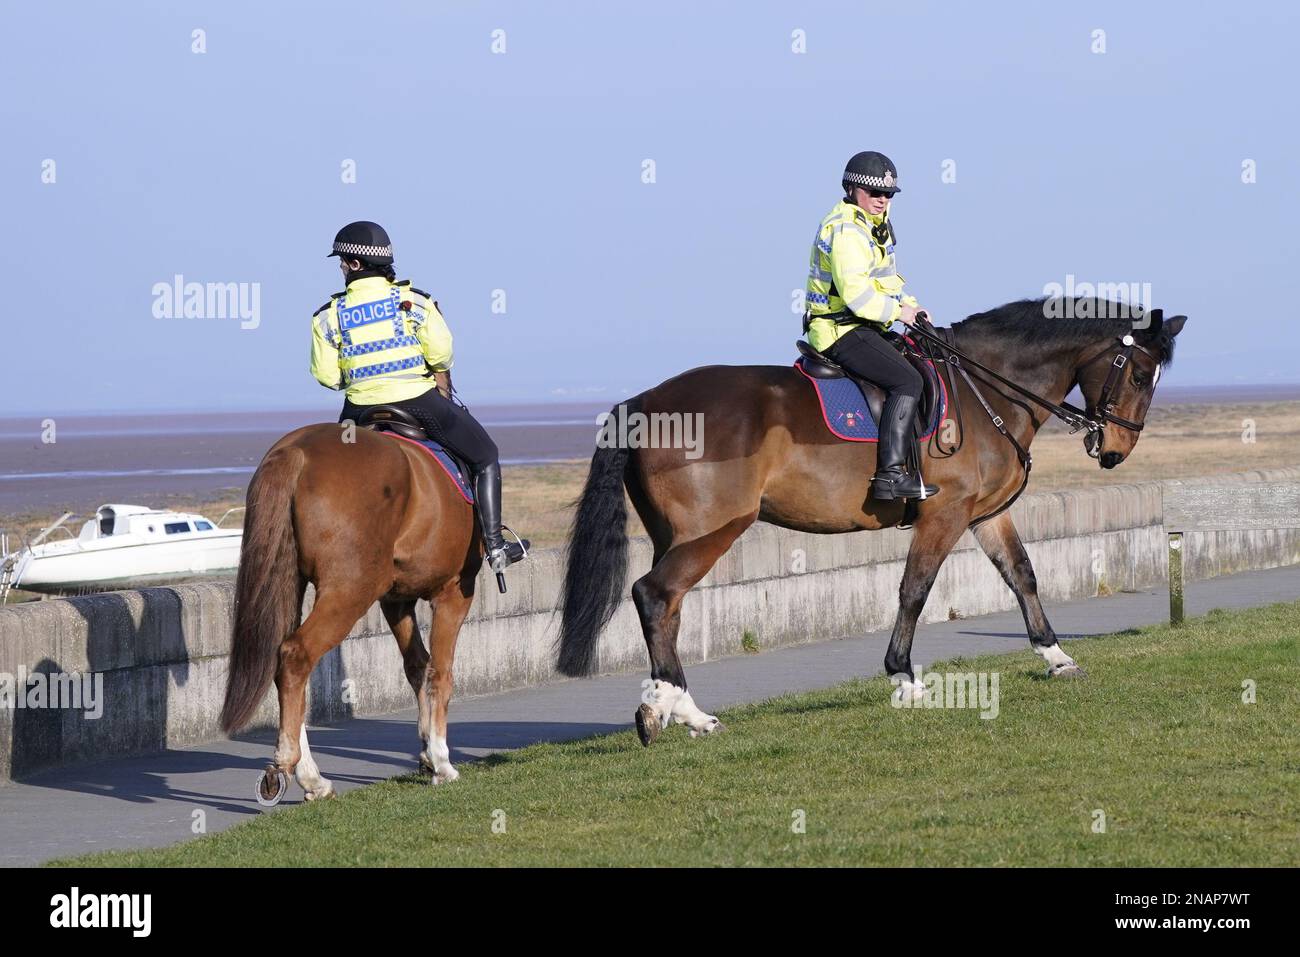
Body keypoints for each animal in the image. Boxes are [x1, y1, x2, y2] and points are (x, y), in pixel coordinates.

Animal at [218, 410, 483, 800]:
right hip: (351, 590)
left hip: (291, 583)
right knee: (296, 655)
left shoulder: (396, 599)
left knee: (286, 665)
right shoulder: (453, 593)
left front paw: (426, 754)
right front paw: (441, 761)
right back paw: (290, 765)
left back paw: (311, 775)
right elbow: (441, 672)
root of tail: (295, 452)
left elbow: (417, 665)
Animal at [553, 295, 1185, 743]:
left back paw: (677, 709)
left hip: (679, 536)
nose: (1115, 451)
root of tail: (642, 403)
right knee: (654, 595)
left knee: (669, 607)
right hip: (713, 531)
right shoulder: (944, 514)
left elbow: (1022, 575)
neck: (984, 389)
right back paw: (673, 709)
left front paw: (1056, 657)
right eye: (1137, 374)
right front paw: (903, 676)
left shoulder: (985, 515)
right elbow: (915, 589)